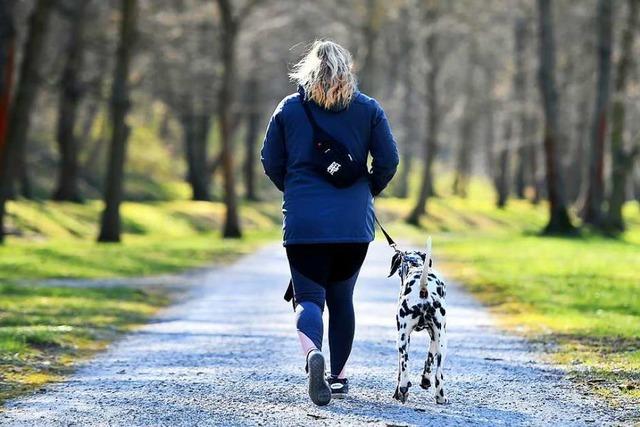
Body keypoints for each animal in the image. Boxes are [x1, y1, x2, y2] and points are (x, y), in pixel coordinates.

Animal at [388, 239, 448, 406]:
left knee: (404, 368)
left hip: (402, 340)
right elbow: (429, 360)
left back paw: (403, 390)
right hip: (442, 342)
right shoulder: (434, 337)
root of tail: (423, 289)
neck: (416, 266)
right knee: (438, 374)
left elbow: (399, 371)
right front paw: (425, 381)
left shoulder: (407, 338)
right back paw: (440, 397)